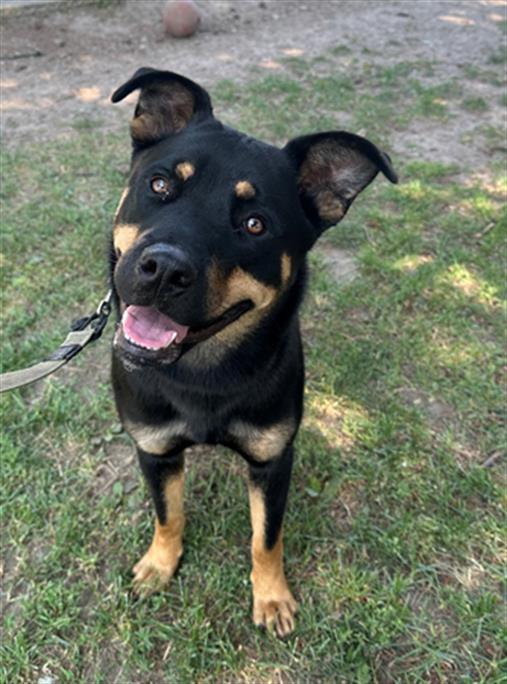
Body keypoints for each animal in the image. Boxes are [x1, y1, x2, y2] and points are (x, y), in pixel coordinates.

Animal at [109, 67, 398, 640]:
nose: (164, 269)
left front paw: (271, 597)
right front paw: (159, 564)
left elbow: (266, 536)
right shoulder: (154, 448)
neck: (199, 372)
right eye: (160, 185)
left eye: (255, 224)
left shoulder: (272, 459)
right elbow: (167, 514)